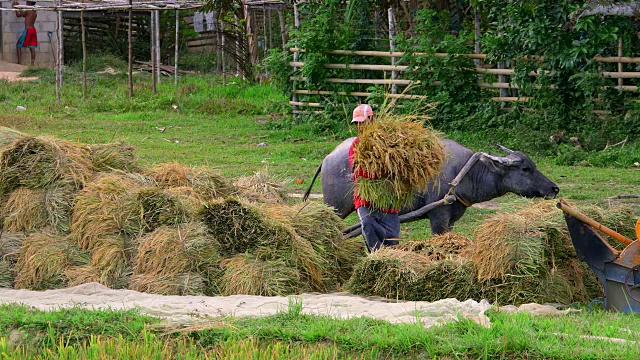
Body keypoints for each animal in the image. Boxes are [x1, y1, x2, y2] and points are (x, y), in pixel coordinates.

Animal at [302, 136, 556, 235]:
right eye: (525, 169)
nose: (554, 188)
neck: (464, 173)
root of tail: (327, 158)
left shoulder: (451, 219)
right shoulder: (438, 216)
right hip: (336, 207)